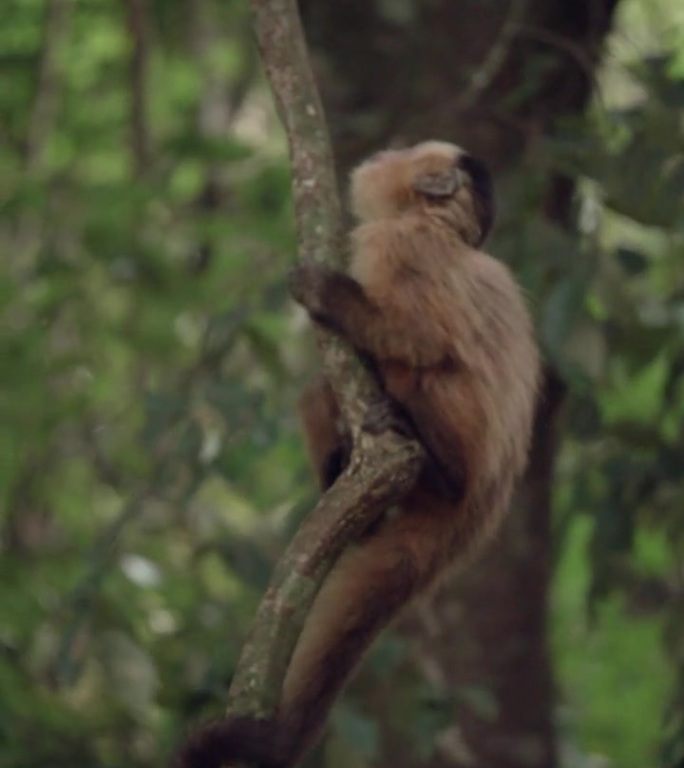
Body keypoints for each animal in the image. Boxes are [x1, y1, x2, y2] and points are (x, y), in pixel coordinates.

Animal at [175, 140, 540, 768]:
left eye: (409, 150)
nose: (389, 148)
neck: (436, 223)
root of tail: (486, 503)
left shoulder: (401, 244)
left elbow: (419, 337)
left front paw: (328, 296)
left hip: (469, 450)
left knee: (413, 370)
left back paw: (438, 467)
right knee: (322, 392)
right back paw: (346, 488)